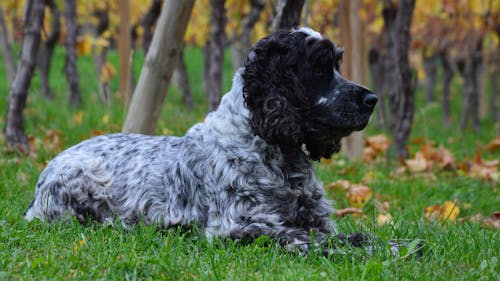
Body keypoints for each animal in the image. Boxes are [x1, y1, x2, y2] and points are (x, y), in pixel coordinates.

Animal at [23, 27, 376, 254]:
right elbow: (303, 237)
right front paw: (356, 244)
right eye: (319, 69)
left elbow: (325, 232)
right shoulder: (237, 226)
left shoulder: (317, 219)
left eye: (336, 66)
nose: (372, 99)